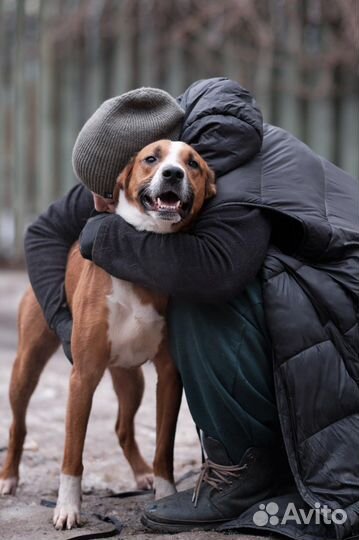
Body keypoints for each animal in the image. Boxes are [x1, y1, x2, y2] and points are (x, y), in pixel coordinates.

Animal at [0, 140, 217, 532]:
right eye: (151, 158)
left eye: (192, 163)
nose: (172, 174)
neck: (141, 254)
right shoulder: (82, 376)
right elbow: (72, 453)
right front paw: (67, 509)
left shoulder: (168, 376)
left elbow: (164, 447)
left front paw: (164, 493)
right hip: (26, 367)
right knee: (17, 425)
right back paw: (8, 477)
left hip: (131, 379)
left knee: (122, 428)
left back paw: (142, 473)